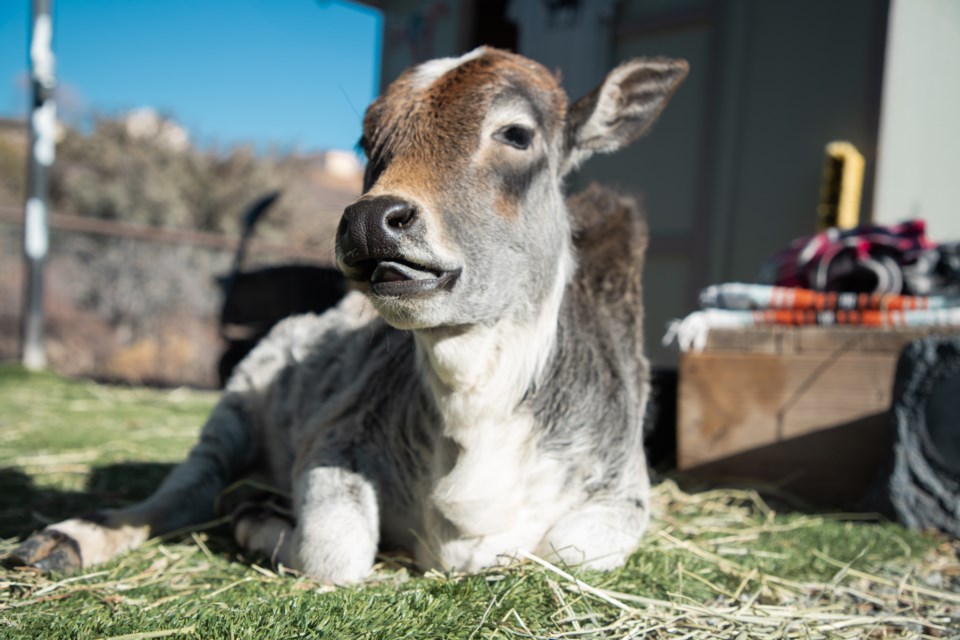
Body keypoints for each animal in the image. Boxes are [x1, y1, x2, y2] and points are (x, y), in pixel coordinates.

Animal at [11, 47, 688, 584]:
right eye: (369, 140)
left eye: (516, 134)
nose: (369, 220)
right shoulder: (333, 439)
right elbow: (335, 551)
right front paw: (259, 518)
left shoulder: (625, 490)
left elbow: (570, 549)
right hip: (238, 403)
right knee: (190, 488)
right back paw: (68, 539)